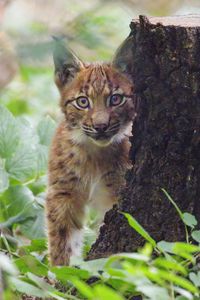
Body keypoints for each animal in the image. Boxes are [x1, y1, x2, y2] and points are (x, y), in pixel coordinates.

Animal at [46, 35, 135, 264]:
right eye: (83, 102)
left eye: (115, 99)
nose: (100, 126)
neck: (94, 150)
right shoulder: (62, 192)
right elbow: (61, 241)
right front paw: (60, 272)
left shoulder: (116, 192)